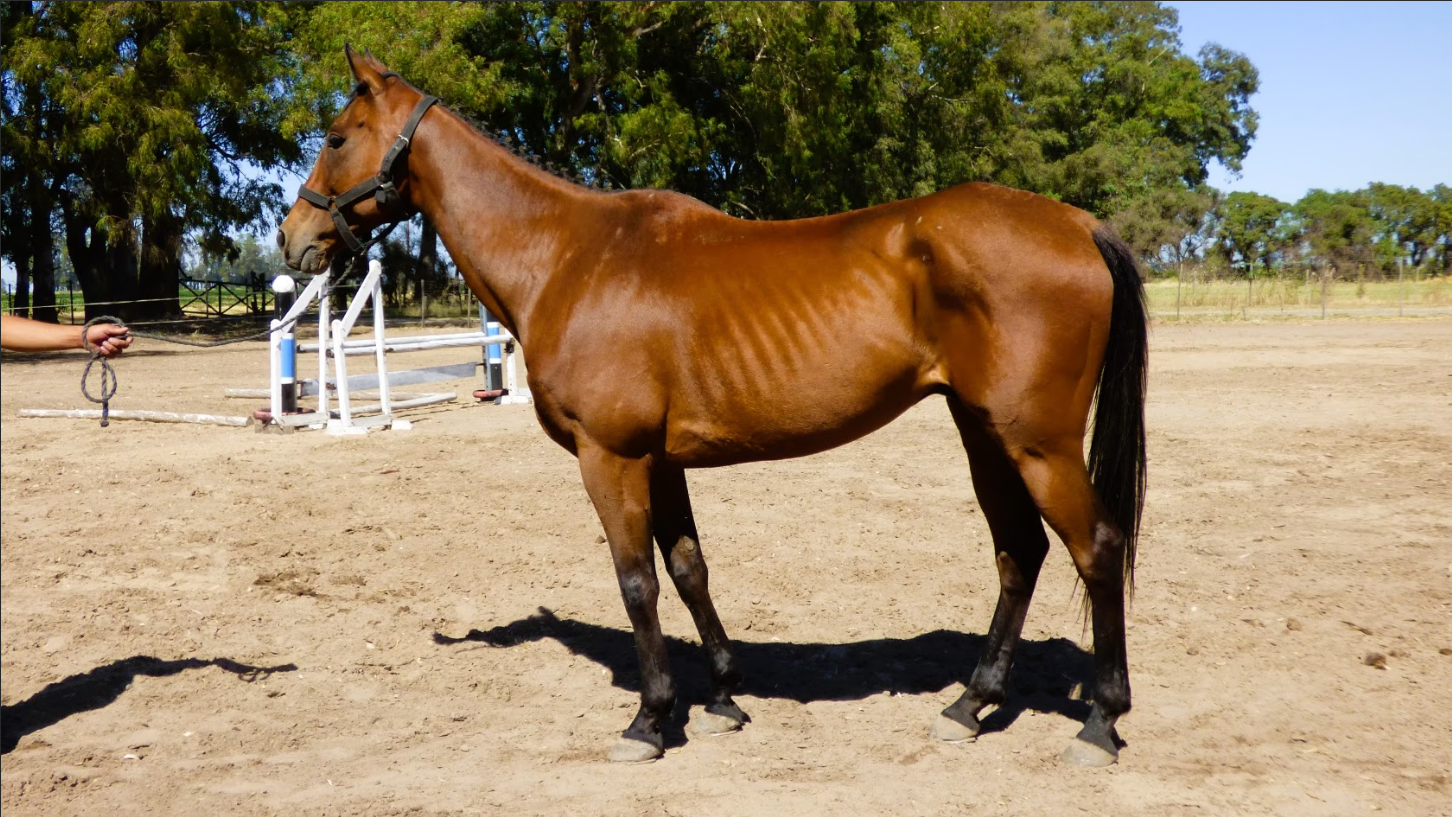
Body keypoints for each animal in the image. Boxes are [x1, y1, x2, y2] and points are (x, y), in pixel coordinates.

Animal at [278, 48, 1147, 767]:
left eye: (337, 136)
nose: (294, 237)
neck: (567, 255)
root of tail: (1078, 223)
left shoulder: (612, 456)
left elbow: (637, 581)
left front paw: (650, 718)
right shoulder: (661, 460)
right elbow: (689, 566)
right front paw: (725, 692)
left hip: (1037, 443)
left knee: (1095, 547)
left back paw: (1099, 721)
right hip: (984, 432)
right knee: (1019, 553)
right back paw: (971, 704)